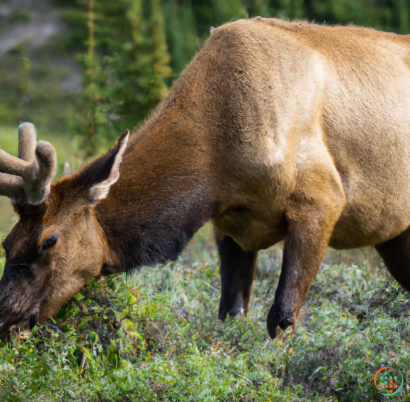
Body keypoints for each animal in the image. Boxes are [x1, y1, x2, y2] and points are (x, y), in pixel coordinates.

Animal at [0, 18, 410, 340]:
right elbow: (230, 314)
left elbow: (281, 318)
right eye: (7, 242)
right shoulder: (231, 226)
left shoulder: (322, 202)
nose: (5, 320)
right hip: (395, 237)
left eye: (49, 240)